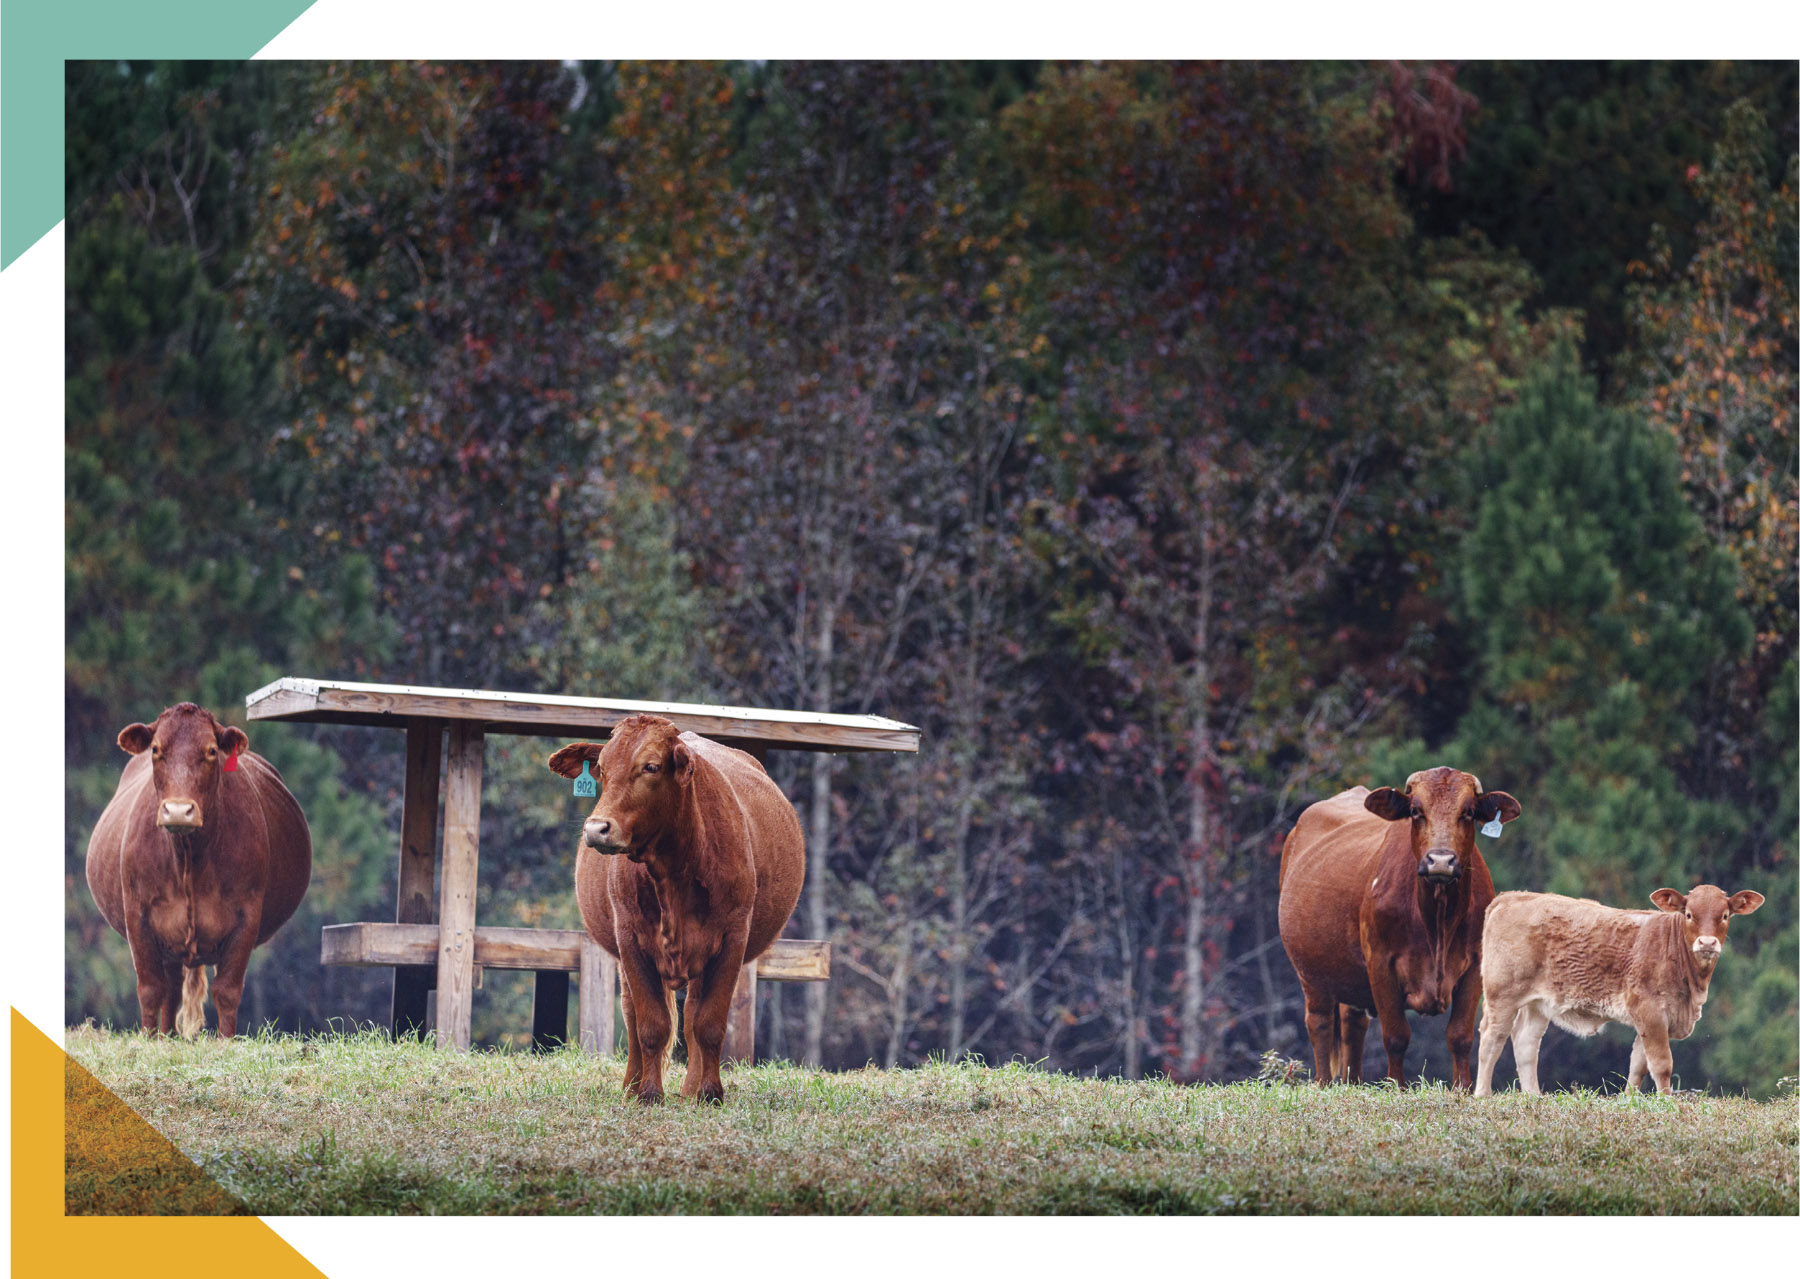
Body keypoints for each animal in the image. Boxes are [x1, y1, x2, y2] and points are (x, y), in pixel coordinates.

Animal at [84, 705, 311, 1036]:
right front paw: (147, 1038)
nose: (179, 810)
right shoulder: (137, 914)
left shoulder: (247, 916)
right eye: (156, 749)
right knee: (169, 988)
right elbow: (150, 989)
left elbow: (227, 991)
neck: (188, 856)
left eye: (212, 751)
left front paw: (225, 1041)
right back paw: (164, 1036)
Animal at [543, 715, 806, 1108]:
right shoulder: (630, 940)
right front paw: (649, 1093)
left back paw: (691, 1088)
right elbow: (651, 1024)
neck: (673, 871)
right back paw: (632, 1086)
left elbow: (709, 1023)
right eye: (601, 768)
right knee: (633, 1014)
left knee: (694, 1011)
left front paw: (711, 1093)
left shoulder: (733, 938)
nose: (597, 829)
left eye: (651, 766)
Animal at [1281, 769, 1519, 1093]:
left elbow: (1460, 1035)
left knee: (1352, 1023)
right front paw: (1397, 1087)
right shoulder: (1381, 962)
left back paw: (1353, 1082)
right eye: (1416, 811)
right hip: (1311, 973)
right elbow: (1396, 1035)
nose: (1440, 860)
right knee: (1319, 1023)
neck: (1437, 921)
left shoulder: (1475, 965)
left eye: (1468, 811)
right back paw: (1324, 1083)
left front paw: (1463, 1088)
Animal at [1483, 885, 1764, 1093]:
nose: (1707, 943)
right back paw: (1483, 1095)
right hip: (1502, 995)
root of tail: (1513, 896)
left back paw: (1533, 1097)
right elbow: (1661, 1064)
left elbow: (1638, 1065)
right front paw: (1666, 1101)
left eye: (1725, 916)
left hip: (1538, 1004)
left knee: (1526, 1044)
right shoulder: (1650, 1010)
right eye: (1689, 914)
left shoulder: (1650, 1018)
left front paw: (1631, 1100)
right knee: (1491, 1040)